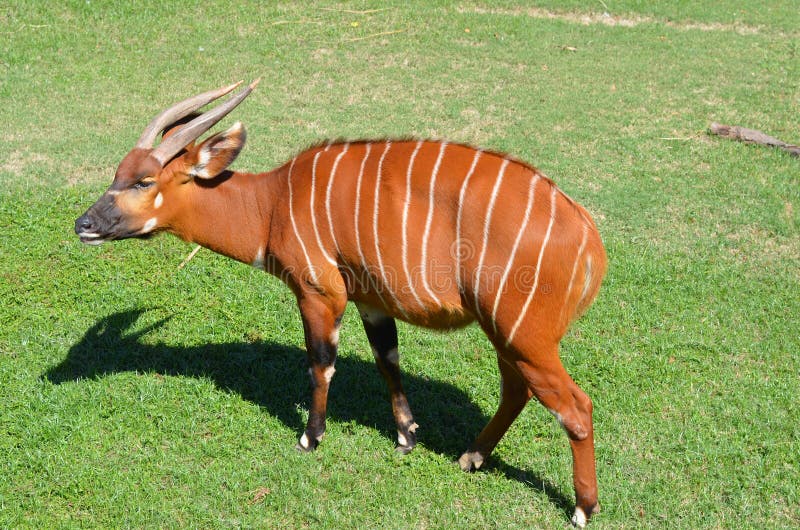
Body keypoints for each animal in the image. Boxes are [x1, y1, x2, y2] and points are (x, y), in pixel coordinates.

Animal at [75, 81, 607, 527]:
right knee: (518, 390)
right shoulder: (371, 301)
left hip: (523, 335)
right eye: (118, 173)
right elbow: (388, 361)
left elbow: (322, 364)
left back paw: (582, 508)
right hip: (506, 336)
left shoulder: (319, 293)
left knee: (575, 406)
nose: (84, 224)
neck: (272, 203)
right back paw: (471, 457)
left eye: (144, 181)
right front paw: (407, 437)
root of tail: (587, 236)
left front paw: (310, 438)